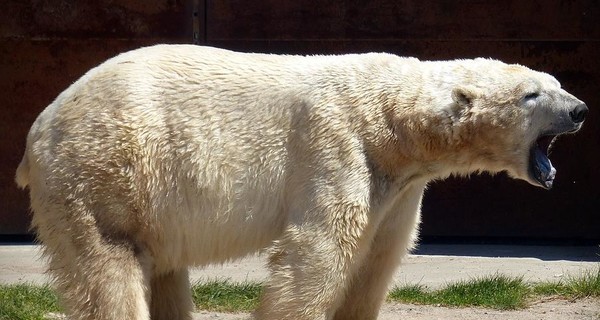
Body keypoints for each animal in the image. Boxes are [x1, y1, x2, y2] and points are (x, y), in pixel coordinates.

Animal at [16, 45, 588, 320]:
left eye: (556, 83)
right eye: (533, 95)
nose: (580, 110)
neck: (393, 122)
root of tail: (41, 125)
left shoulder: (400, 187)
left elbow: (378, 256)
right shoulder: (336, 146)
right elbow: (320, 250)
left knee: (163, 273)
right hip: (105, 173)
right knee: (109, 266)